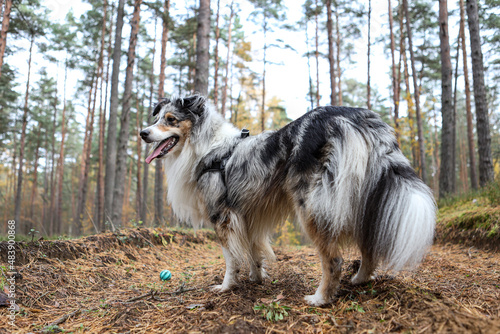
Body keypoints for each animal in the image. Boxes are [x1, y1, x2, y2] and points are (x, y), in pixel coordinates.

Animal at [139, 94, 436, 306]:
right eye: (157, 119)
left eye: (171, 119)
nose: (143, 133)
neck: (206, 148)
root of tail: (355, 116)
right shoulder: (247, 215)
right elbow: (253, 252)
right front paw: (256, 278)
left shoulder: (221, 215)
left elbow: (231, 258)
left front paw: (225, 287)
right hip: (363, 197)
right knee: (369, 244)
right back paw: (359, 280)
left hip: (312, 205)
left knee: (334, 259)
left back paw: (320, 298)